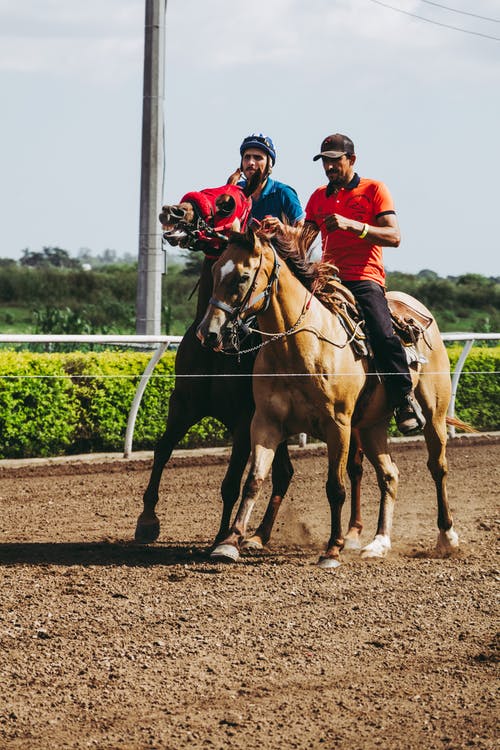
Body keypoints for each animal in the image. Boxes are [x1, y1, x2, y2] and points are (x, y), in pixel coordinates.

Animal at [135, 175, 294, 552]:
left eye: (226, 203)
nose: (171, 211)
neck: (215, 348)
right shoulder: (184, 402)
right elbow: (162, 449)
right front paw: (147, 519)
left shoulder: (245, 418)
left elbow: (231, 480)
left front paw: (223, 536)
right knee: (285, 474)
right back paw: (259, 535)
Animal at [197, 226, 462, 568]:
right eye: (216, 270)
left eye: (242, 277)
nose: (209, 332)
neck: (300, 347)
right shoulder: (265, 423)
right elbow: (254, 479)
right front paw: (229, 542)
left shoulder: (338, 425)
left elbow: (335, 487)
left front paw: (333, 549)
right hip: (372, 426)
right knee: (389, 474)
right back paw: (379, 543)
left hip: (434, 416)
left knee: (437, 467)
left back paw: (447, 536)